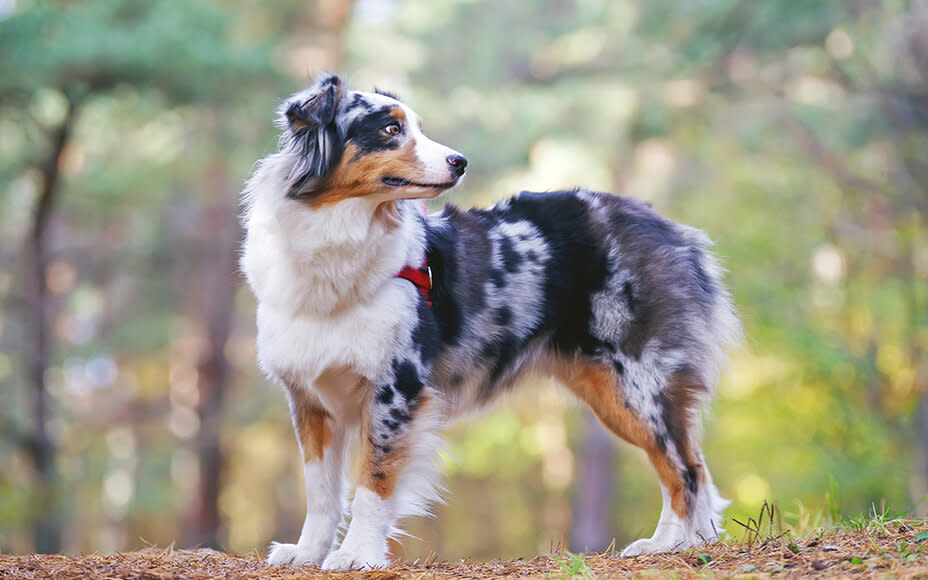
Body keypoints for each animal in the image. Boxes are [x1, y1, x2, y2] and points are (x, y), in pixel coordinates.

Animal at [241, 73, 740, 572]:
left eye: (417, 127)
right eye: (390, 129)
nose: (460, 162)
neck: (337, 236)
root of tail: (668, 227)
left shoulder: (395, 389)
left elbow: (373, 480)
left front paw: (357, 554)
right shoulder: (310, 397)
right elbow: (321, 490)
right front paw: (308, 552)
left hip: (636, 382)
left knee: (685, 469)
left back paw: (667, 544)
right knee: (691, 465)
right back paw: (689, 542)